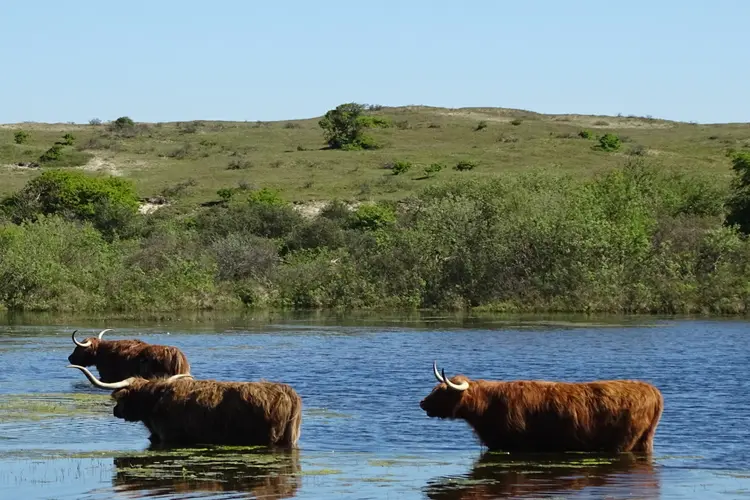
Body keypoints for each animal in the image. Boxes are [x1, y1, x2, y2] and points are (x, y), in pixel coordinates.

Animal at [420, 362, 668, 456]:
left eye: (443, 391)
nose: (422, 403)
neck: (488, 405)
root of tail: (653, 391)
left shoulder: (514, 444)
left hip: (623, 442)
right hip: (645, 440)